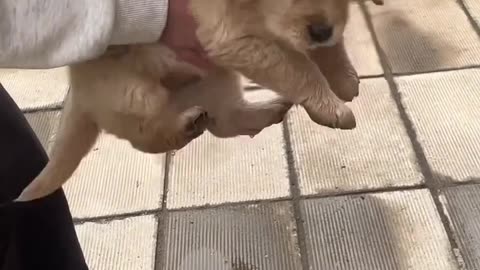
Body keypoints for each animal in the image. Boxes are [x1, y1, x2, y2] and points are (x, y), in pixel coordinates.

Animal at [16, 0, 382, 202]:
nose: (321, 30)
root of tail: (77, 92)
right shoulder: (230, 38)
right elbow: (300, 67)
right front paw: (332, 107)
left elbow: (326, 50)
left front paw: (343, 77)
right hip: (138, 94)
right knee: (146, 137)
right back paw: (184, 126)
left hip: (213, 74)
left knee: (225, 121)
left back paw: (268, 111)